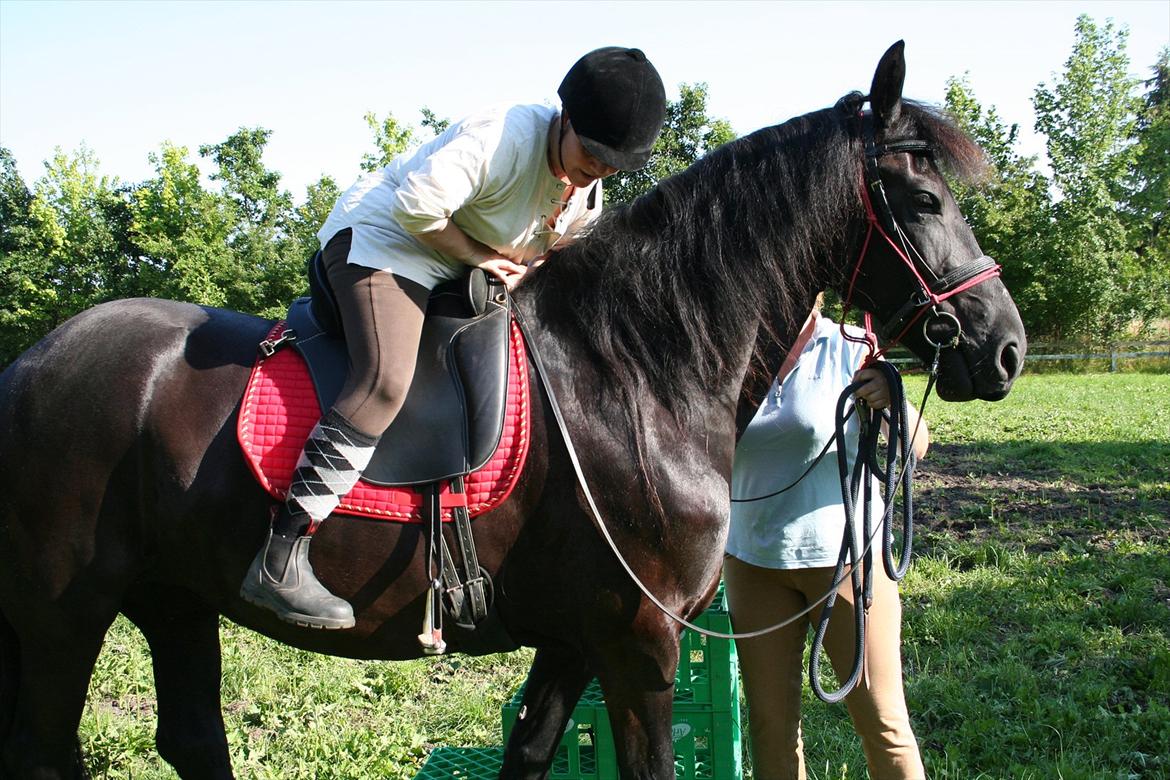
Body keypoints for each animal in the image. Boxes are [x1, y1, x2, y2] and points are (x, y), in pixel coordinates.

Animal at [0, 44, 1024, 780]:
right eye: (921, 198)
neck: (632, 370)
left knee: (192, 738)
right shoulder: (639, 646)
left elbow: (528, 754)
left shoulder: (575, 642)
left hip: (171, 598)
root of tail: (30, 364)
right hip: (60, 614)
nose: (1003, 346)